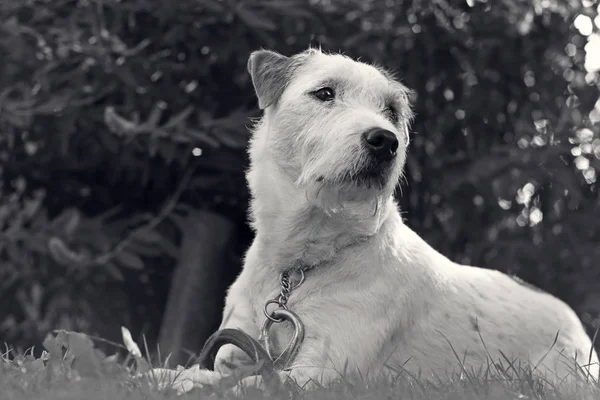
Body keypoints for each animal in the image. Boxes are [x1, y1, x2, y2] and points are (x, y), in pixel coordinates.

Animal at [148, 47, 596, 394]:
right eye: (324, 93)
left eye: (392, 111)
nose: (385, 141)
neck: (299, 268)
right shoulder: (236, 347)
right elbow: (214, 371)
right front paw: (168, 374)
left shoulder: (318, 375)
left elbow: (245, 385)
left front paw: (183, 382)